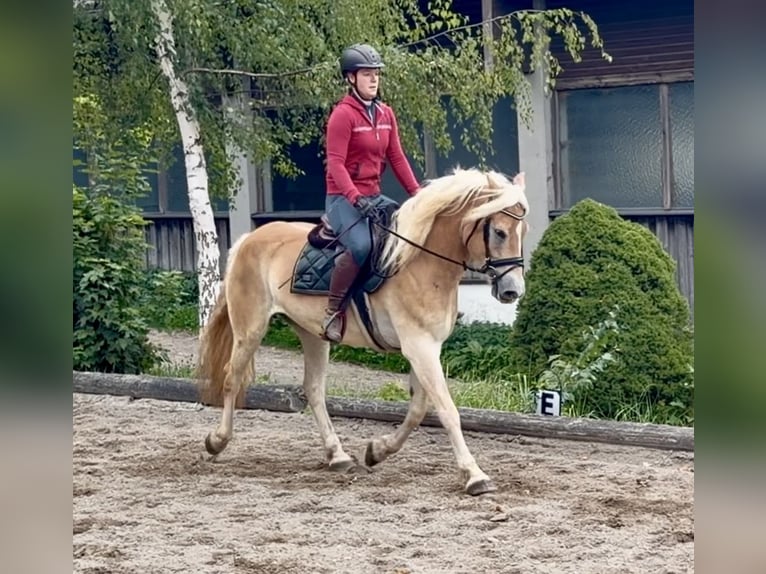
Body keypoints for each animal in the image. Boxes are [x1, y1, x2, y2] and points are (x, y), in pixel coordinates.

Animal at [196, 167, 529, 496]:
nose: (512, 291)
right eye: (499, 232)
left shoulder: (426, 348)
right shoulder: (419, 347)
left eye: (522, 232)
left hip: (312, 335)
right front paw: (474, 475)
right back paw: (216, 441)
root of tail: (249, 238)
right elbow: (447, 410)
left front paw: (377, 451)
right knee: (232, 378)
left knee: (313, 389)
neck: (420, 263)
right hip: (250, 328)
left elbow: (418, 409)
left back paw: (338, 455)